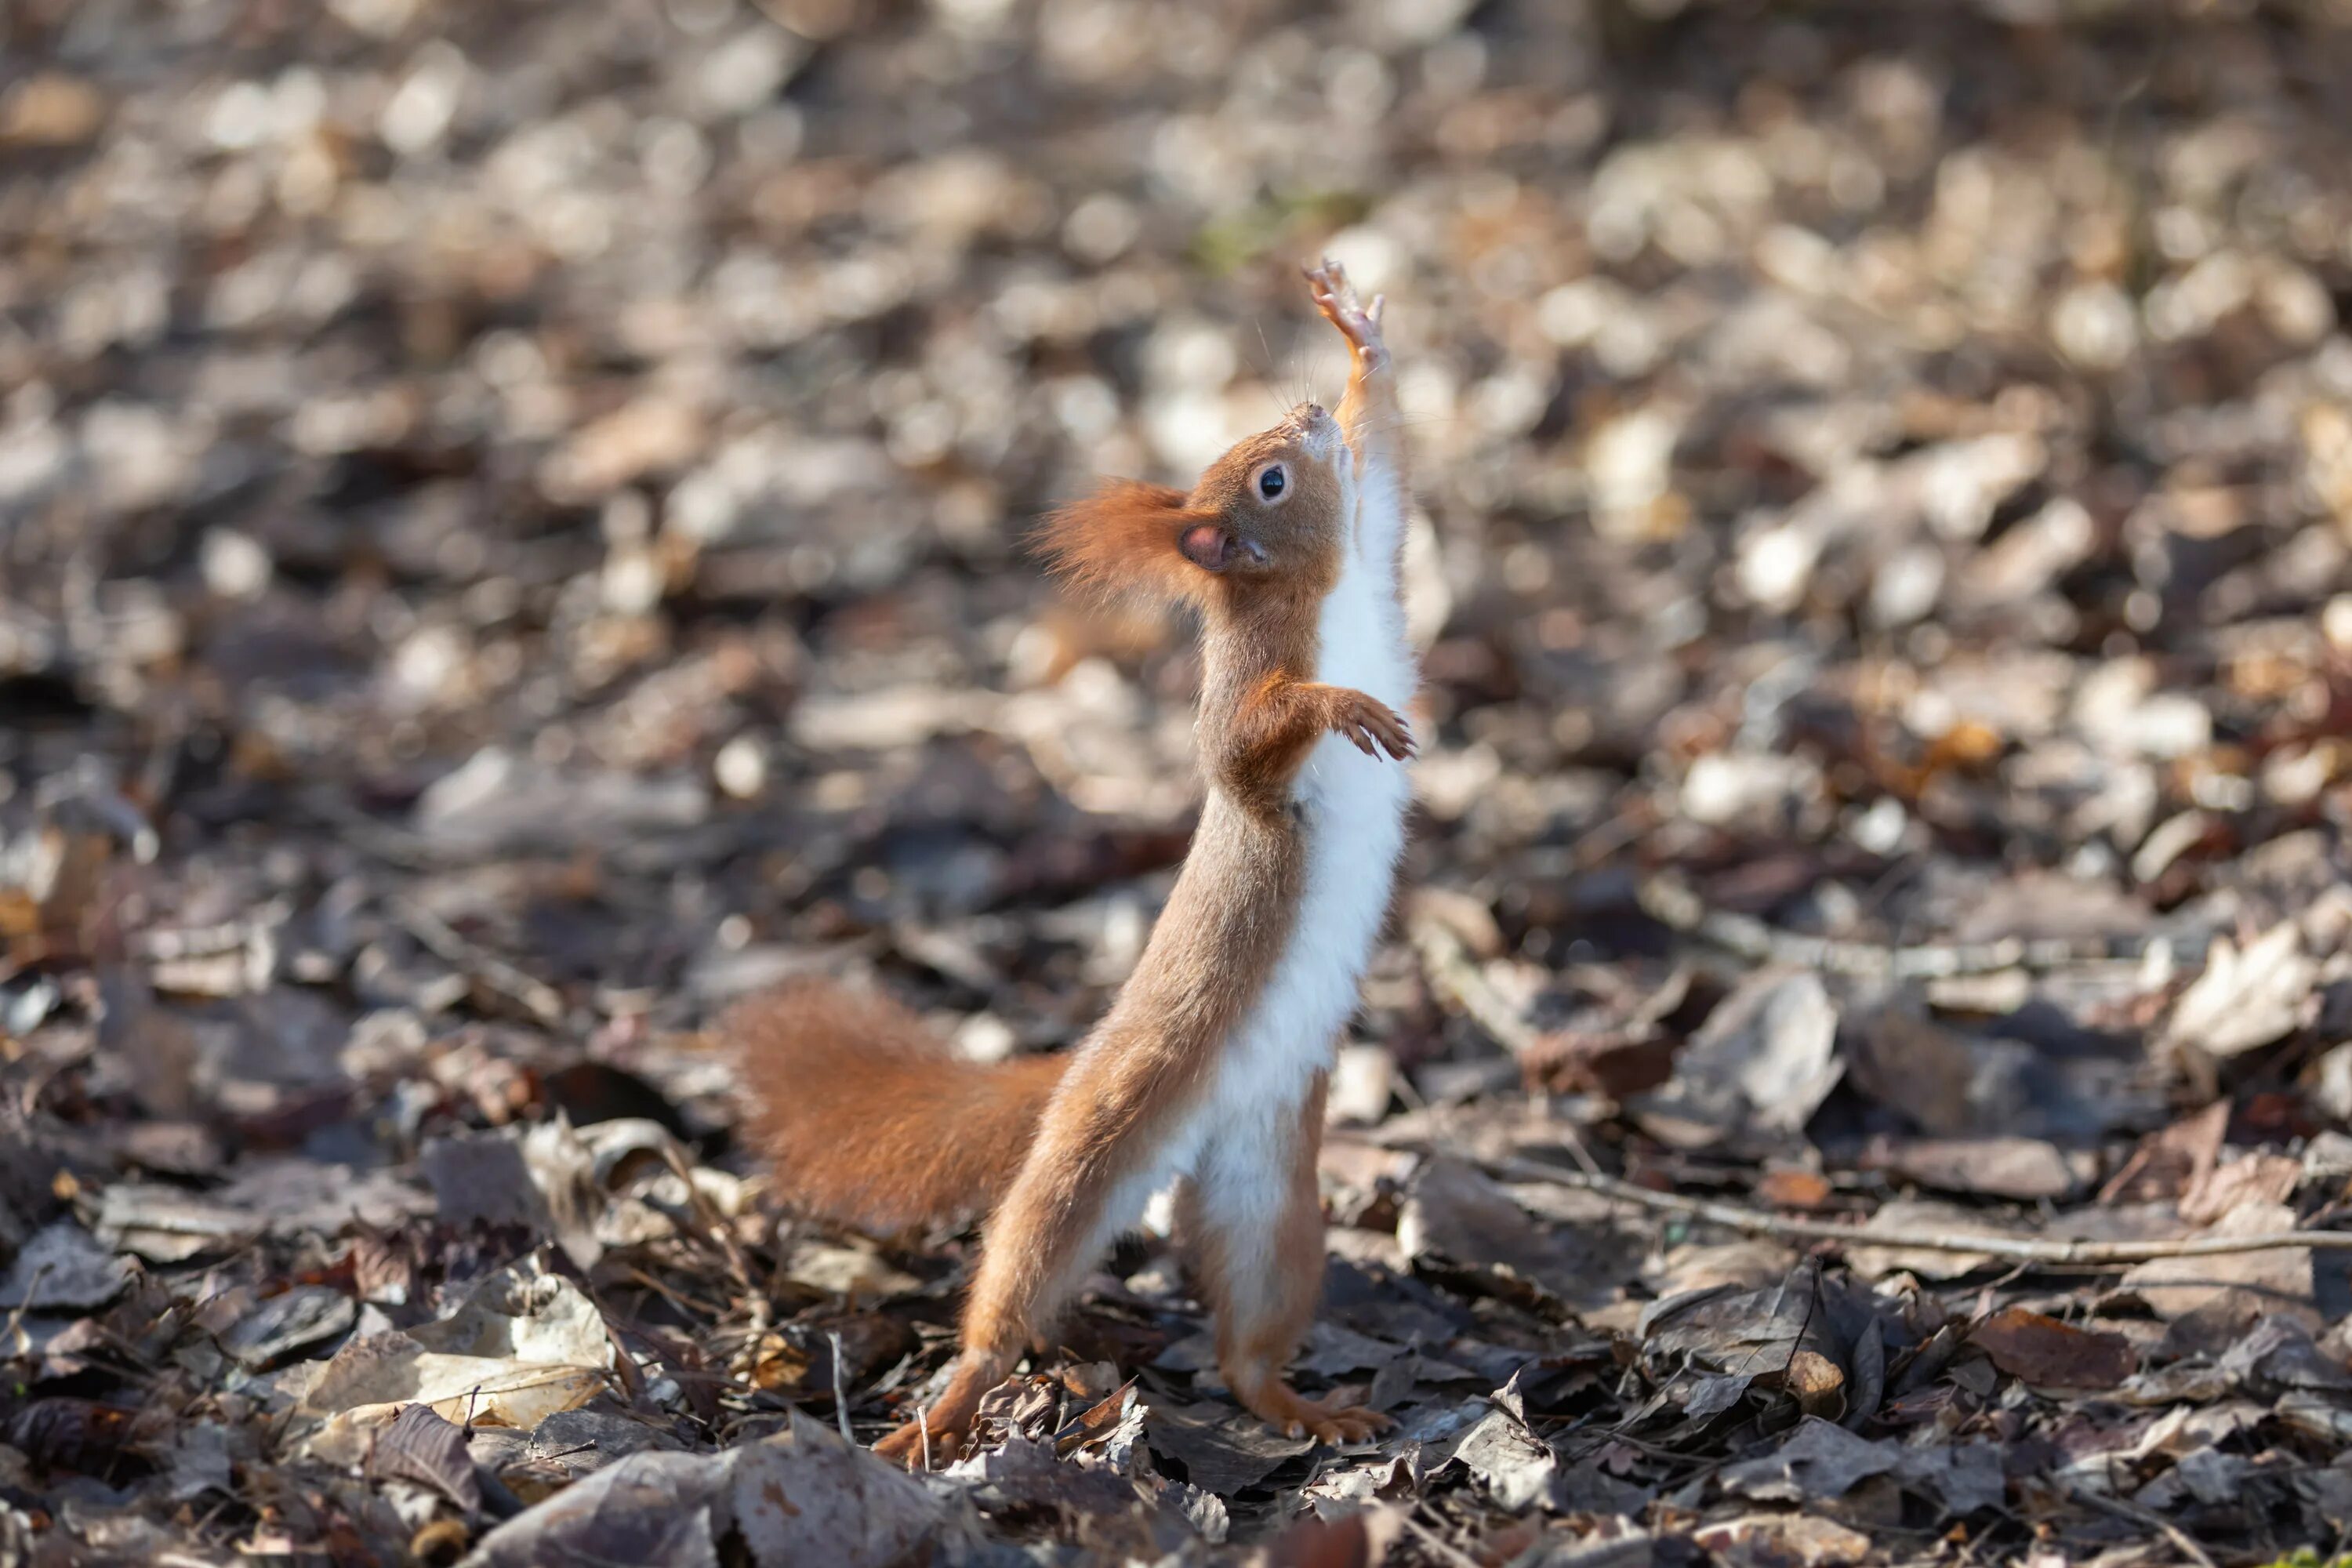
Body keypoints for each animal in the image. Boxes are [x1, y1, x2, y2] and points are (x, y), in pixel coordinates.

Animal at [724, 263, 1411, 1467]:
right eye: (1271, 479)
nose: (1305, 414)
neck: (1315, 599)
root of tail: (1082, 1066)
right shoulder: (1245, 700)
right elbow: (1247, 745)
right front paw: (1339, 703)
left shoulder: (1373, 556)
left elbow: (1389, 469)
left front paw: (1359, 341)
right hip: (1090, 1153)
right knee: (1017, 1274)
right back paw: (947, 1404)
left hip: (1269, 1193)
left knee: (1248, 1338)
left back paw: (1302, 1405)